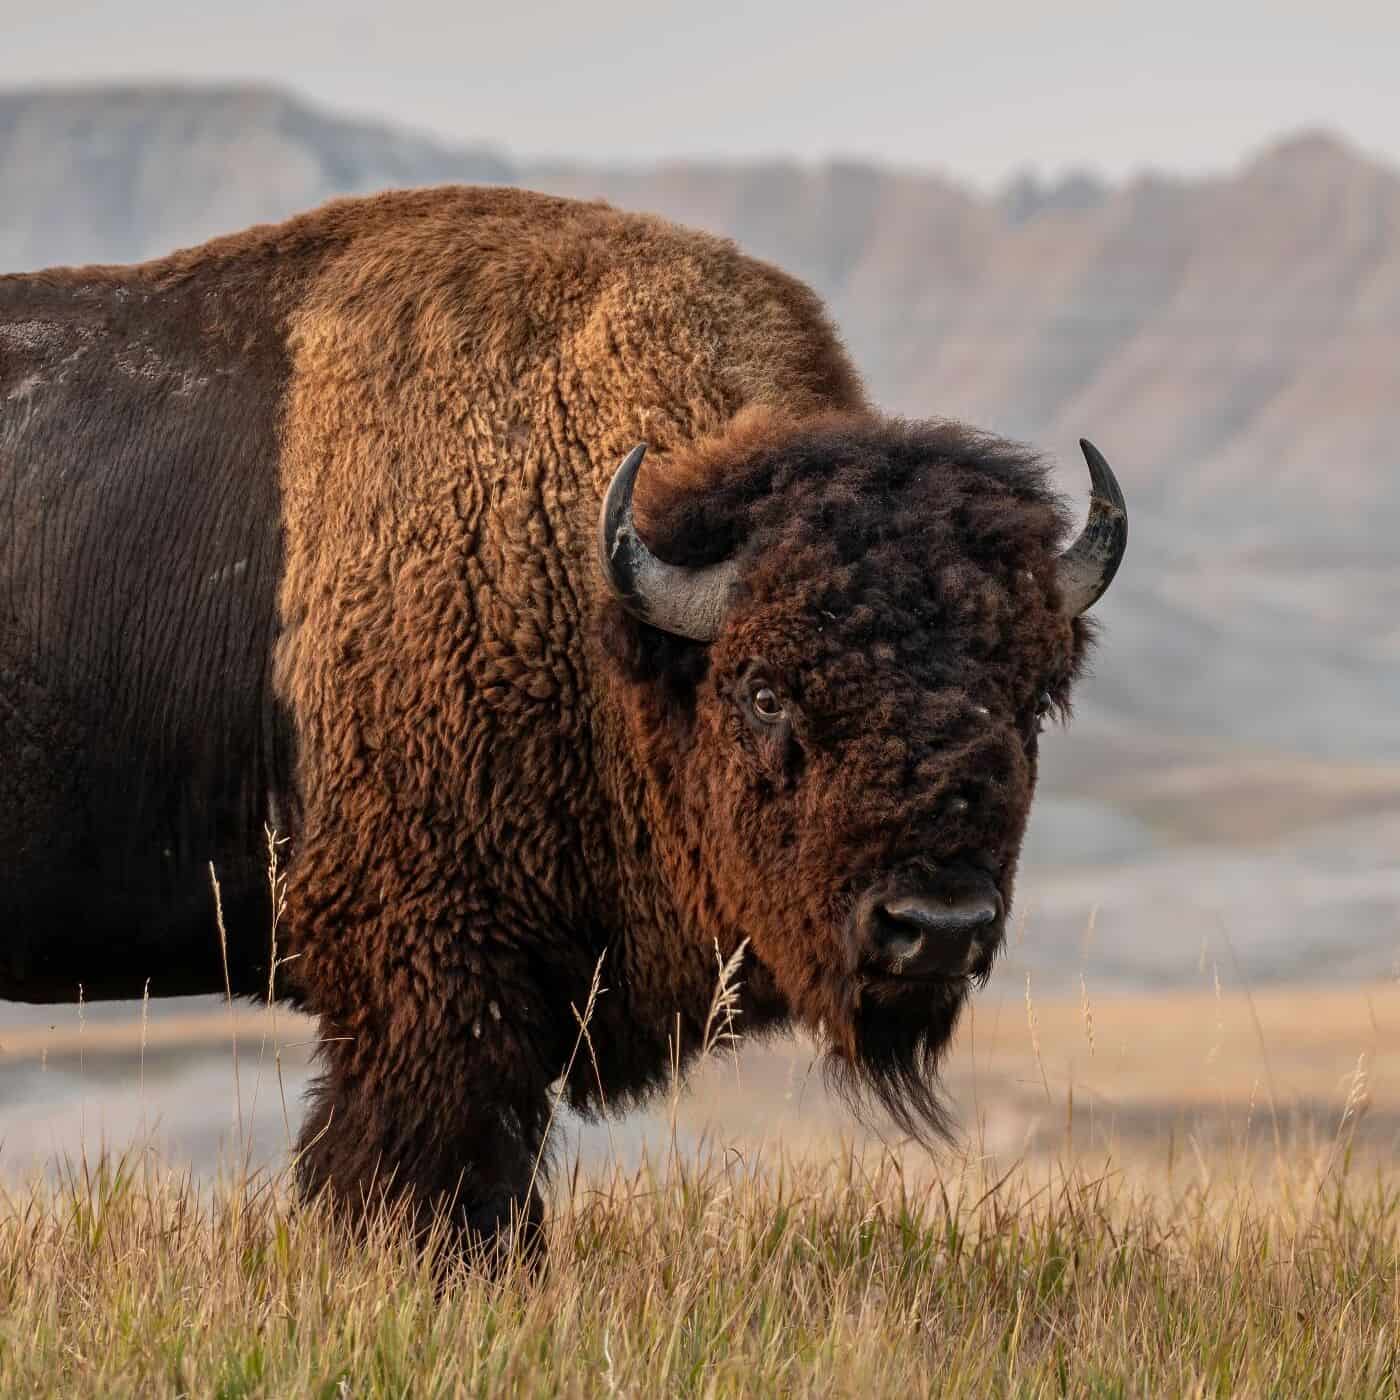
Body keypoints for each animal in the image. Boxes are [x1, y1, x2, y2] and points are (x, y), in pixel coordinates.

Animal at [0, 186, 1126, 1253]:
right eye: (764, 690)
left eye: (1031, 695)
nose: (935, 927)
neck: (592, 585)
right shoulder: (432, 975)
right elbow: (432, 1170)